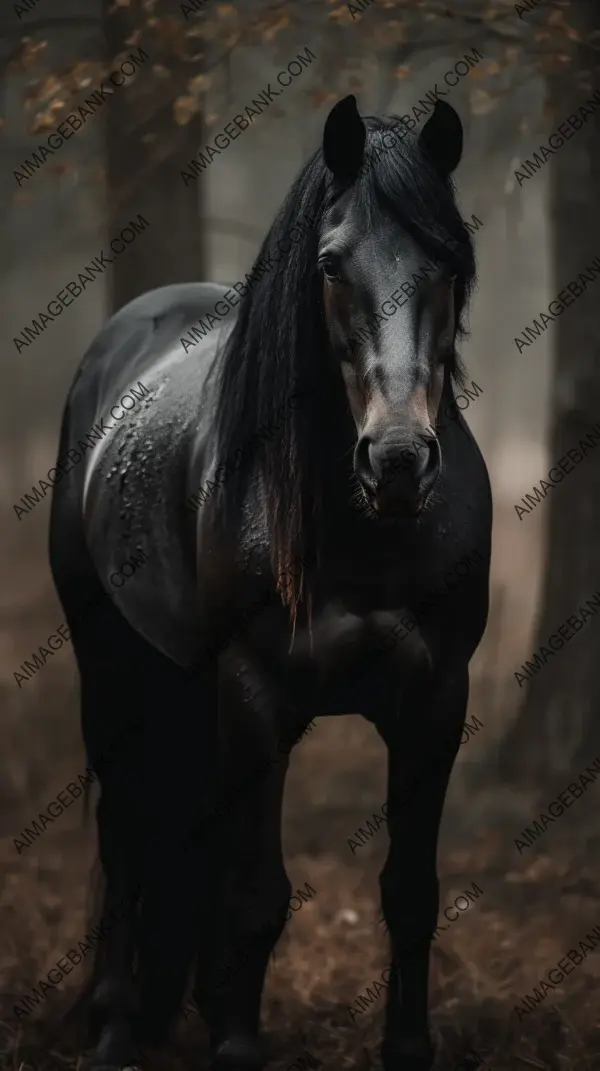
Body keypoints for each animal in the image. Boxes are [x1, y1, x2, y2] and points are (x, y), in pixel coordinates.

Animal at [49, 96, 492, 1066]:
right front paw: (234, 1044)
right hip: (112, 672)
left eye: (448, 261)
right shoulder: (255, 694)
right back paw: (114, 1026)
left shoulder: (436, 697)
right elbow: (256, 897)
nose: (397, 460)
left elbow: (409, 891)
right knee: (126, 839)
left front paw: (406, 1046)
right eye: (329, 263)